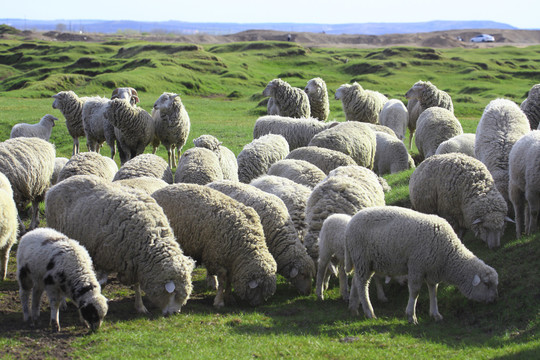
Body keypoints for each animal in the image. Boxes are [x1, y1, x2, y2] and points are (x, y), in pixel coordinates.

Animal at [44, 175, 194, 316]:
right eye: (173, 293)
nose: (174, 313)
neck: (150, 239)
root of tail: (56, 186)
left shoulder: (134, 262)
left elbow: (137, 285)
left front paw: (140, 307)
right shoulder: (105, 256)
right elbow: (102, 282)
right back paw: (63, 303)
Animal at [346, 205, 498, 324]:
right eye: (486, 284)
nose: (493, 301)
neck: (447, 254)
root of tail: (351, 222)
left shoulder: (432, 270)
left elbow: (434, 291)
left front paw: (435, 314)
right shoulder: (416, 266)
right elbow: (415, 291)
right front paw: (411, 316)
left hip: (365, 262)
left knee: (356, 281)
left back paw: (353, 308)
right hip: (362, 259)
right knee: (362, 285)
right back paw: (369, 312)